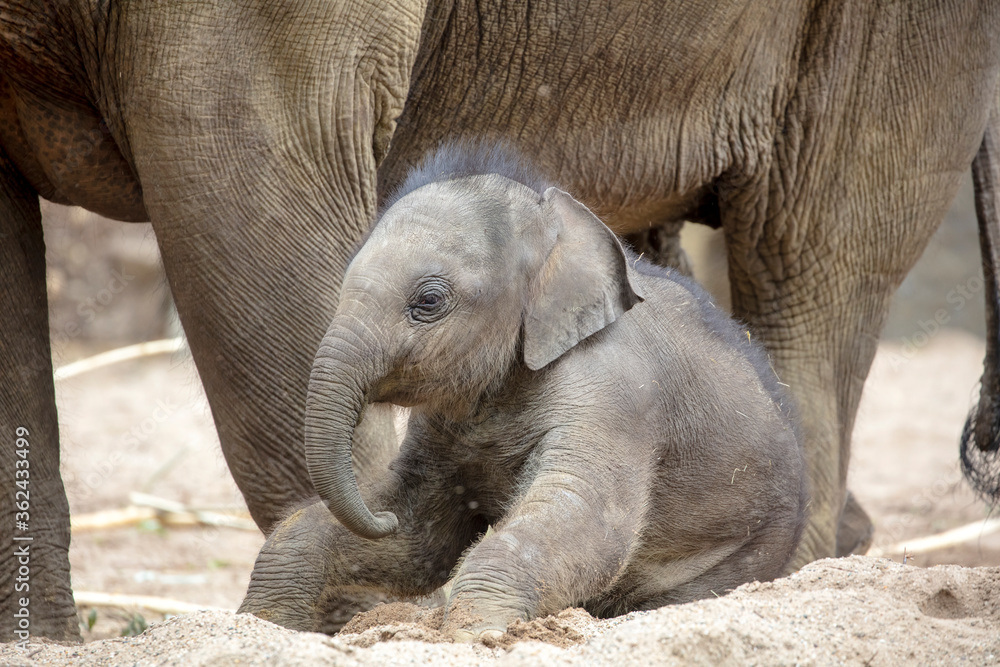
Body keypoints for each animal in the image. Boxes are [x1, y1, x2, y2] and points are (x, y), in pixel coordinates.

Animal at [237, 147, 808, 640]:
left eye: (428, 301)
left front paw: (477, 635)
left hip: (751, 548)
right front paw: (263, 625)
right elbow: (422, 539)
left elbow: (583, 515)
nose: (379, 518)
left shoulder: (616, 393)